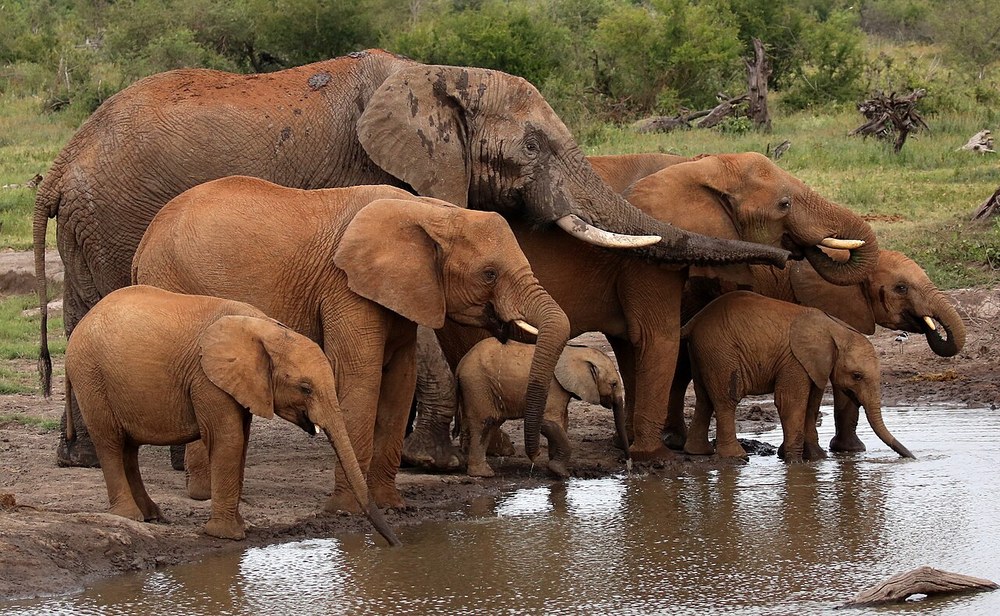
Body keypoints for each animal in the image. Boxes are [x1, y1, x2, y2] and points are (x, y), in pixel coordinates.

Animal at [63, 285, 399, 544]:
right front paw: (227, 536)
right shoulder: (206, 378)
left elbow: (242, 441)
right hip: (91, 376)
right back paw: (130, 516)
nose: (394, 544)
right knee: (110, 441)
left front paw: (239, 528)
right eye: (305, 388)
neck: (266, 329)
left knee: (129, 448)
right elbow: (229, 439)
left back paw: (151, 516)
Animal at [132, 178, 571, 512]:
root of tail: (144, 243)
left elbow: (400, 381)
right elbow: (361, 377)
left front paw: (392, 505)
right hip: (175, 285)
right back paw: (204, 495)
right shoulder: (346, 288)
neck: (427, 210)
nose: (538, 464)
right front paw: (350, 510)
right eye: (489, 274)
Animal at [455, 340, 628, 478]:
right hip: (477, 384)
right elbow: (554, 421)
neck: (576, 353)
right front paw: (561, 473)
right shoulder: (554, 388)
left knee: (491, 423)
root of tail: (460, 364)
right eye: (613, 384)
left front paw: (554, 469)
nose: (627, 462)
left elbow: (563, 421)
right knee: (484, 422)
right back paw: (484, 474)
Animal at [681, 291, 915, 463]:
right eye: (857, 376)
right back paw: (736, 458)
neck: (836, 329)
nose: (912, 458)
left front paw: (817, 459)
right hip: (720, 352)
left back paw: (697, 452)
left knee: (704, 399)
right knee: (727, 399)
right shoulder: (794, 360)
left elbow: (812, 404)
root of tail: (695, 321)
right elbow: (791, 402)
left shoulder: (816, 365)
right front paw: (794, 462)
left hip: (704, 352)